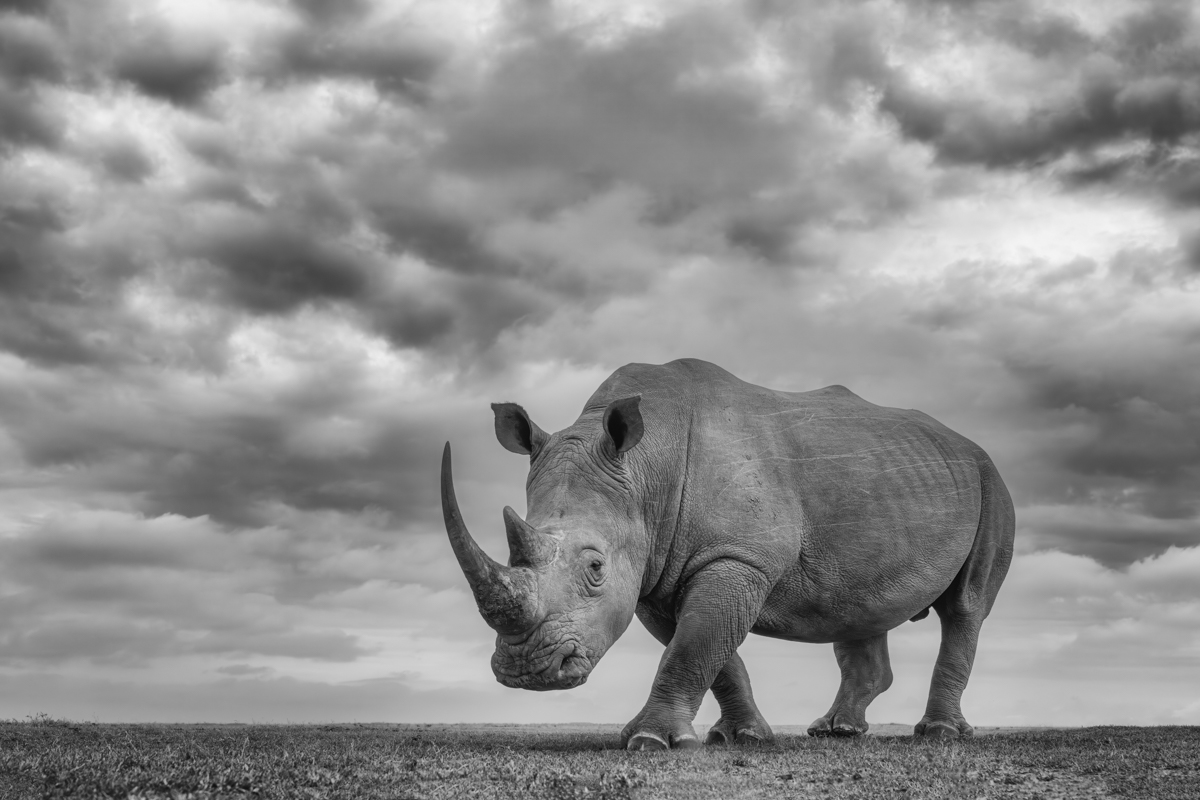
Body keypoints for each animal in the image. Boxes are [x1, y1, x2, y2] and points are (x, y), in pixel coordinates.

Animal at [441, 358, 1014, 750]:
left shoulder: (736, 557)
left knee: (966, 605)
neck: (645, 470)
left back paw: (937, 733)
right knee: (856, 608)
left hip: (990, 483)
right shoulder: (658, 575)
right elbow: (712, 652)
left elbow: (694, 645)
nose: (525, 670)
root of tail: (967, 444)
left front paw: (650, 743)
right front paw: (742, 737)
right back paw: (836, 731)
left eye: (596, 568)